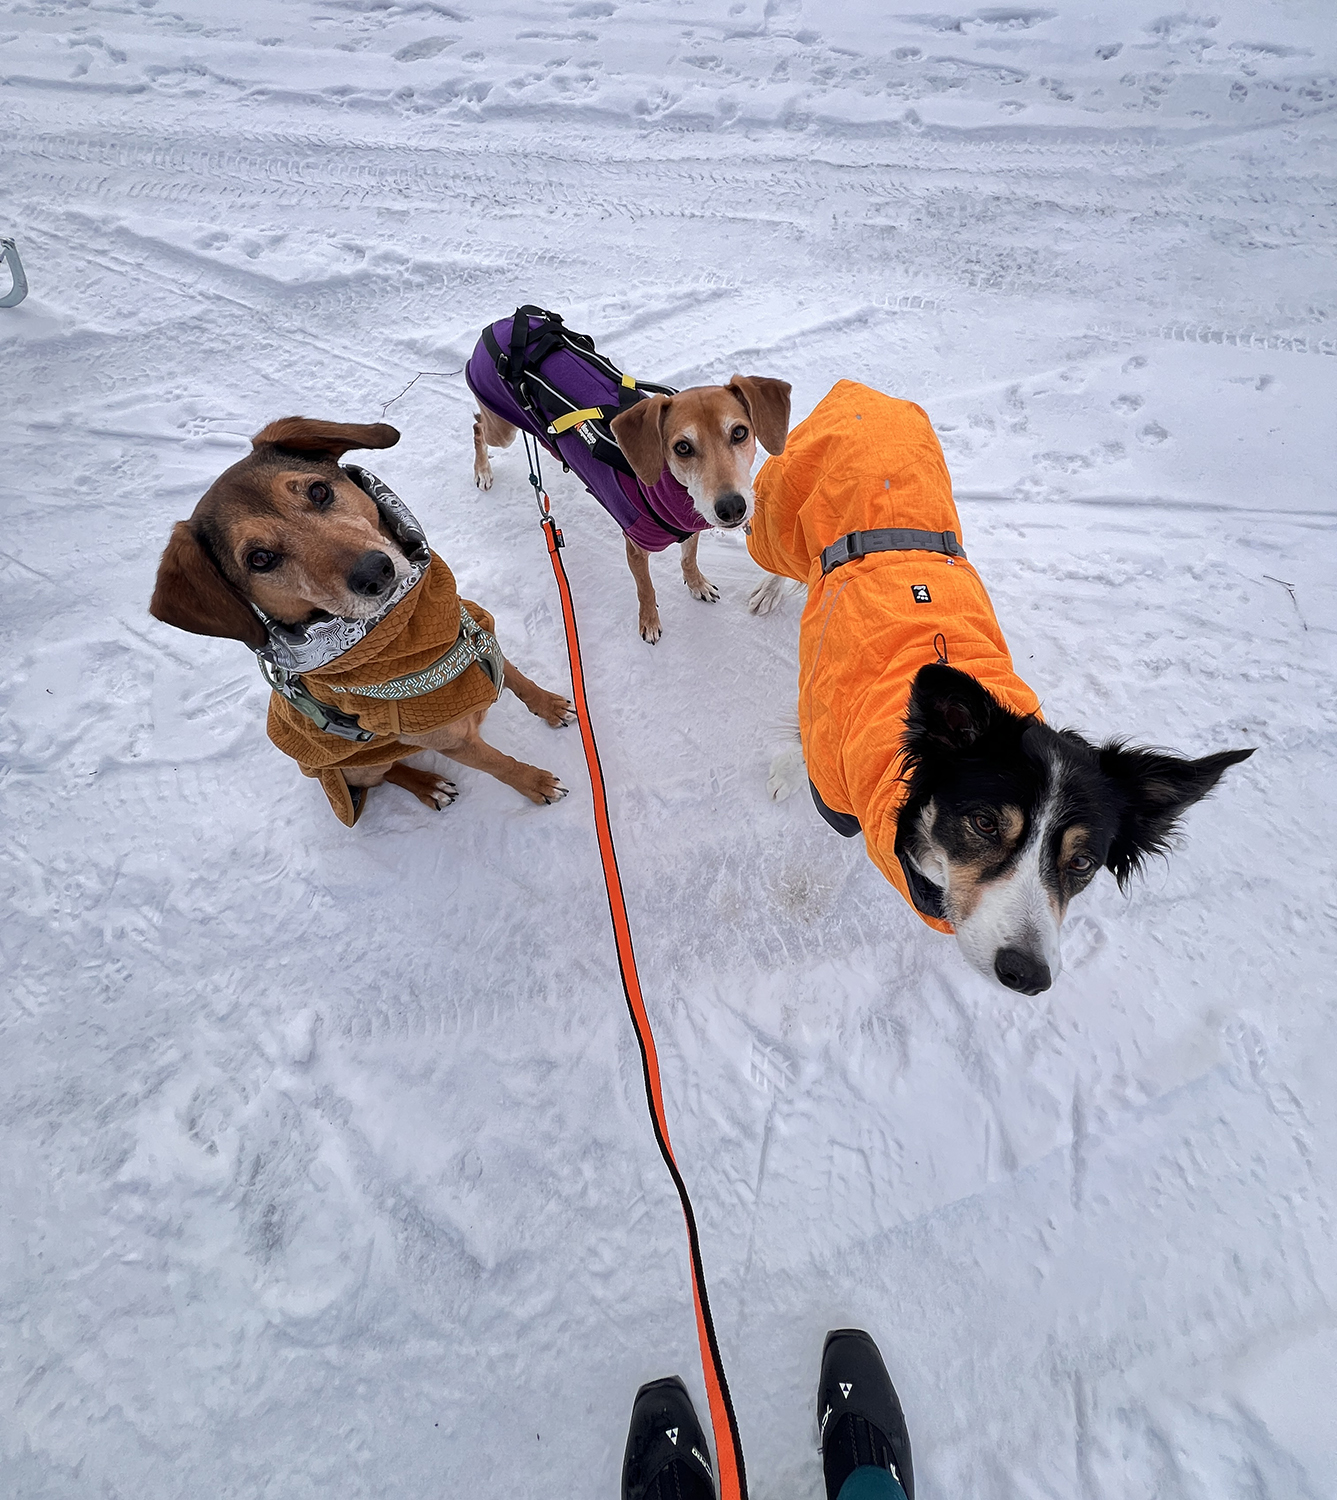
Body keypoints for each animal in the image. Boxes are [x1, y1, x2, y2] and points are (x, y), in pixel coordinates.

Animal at [147, 417, 576, 828]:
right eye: (260, 559)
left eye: (319, 491)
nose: (375, 572)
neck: (408, 633)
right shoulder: (453, 741)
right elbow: (501, 765)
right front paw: (536, 783)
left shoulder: (475, 633)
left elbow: (518, 677)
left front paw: (550, 706)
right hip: (360, 767)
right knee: (387, 774)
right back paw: (428, 785)